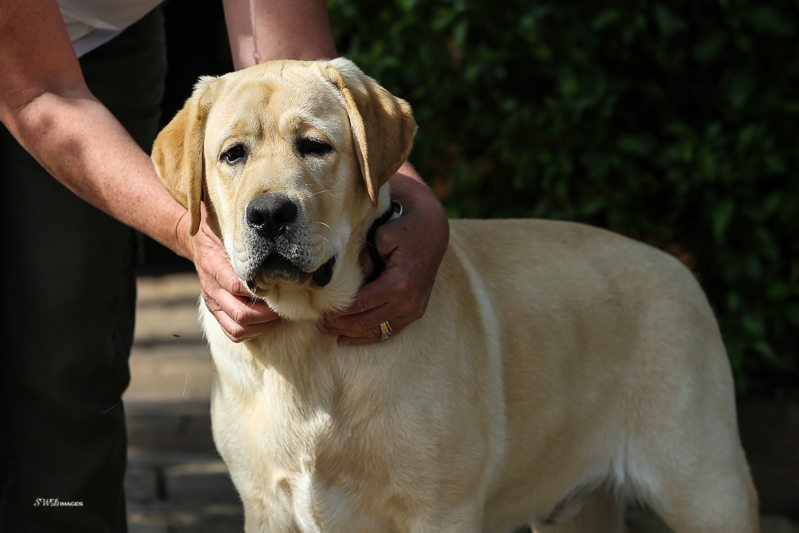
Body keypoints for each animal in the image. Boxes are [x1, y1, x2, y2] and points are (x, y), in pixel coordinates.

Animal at [153, 59, 760, 532]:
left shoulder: (441, 508)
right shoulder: (266, 507)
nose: (270, 214)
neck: (309, 343)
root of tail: (677, 267)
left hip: (708, 490)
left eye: (315, 147)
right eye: (233, 154)